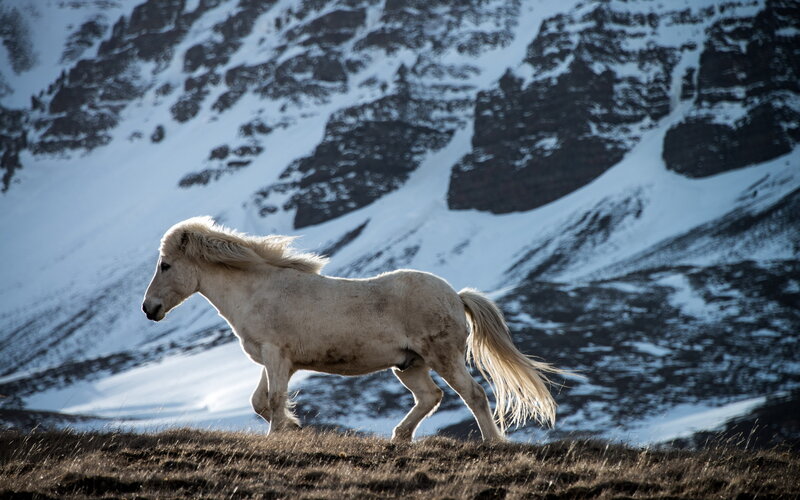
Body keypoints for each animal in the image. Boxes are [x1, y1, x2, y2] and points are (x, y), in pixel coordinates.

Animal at [142, 216, 569, 442]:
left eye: (165, 265)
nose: (150, 309)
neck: (258, 289)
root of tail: (455, 295)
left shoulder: (276, 356)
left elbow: (274, 401)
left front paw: (280, 436)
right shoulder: (274, 361)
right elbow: (261, 402)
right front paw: (293, 430)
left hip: (443, 357)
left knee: (474, 395)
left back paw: (492, 443)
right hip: (409, 364)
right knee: (430, 397)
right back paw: (399, 437)